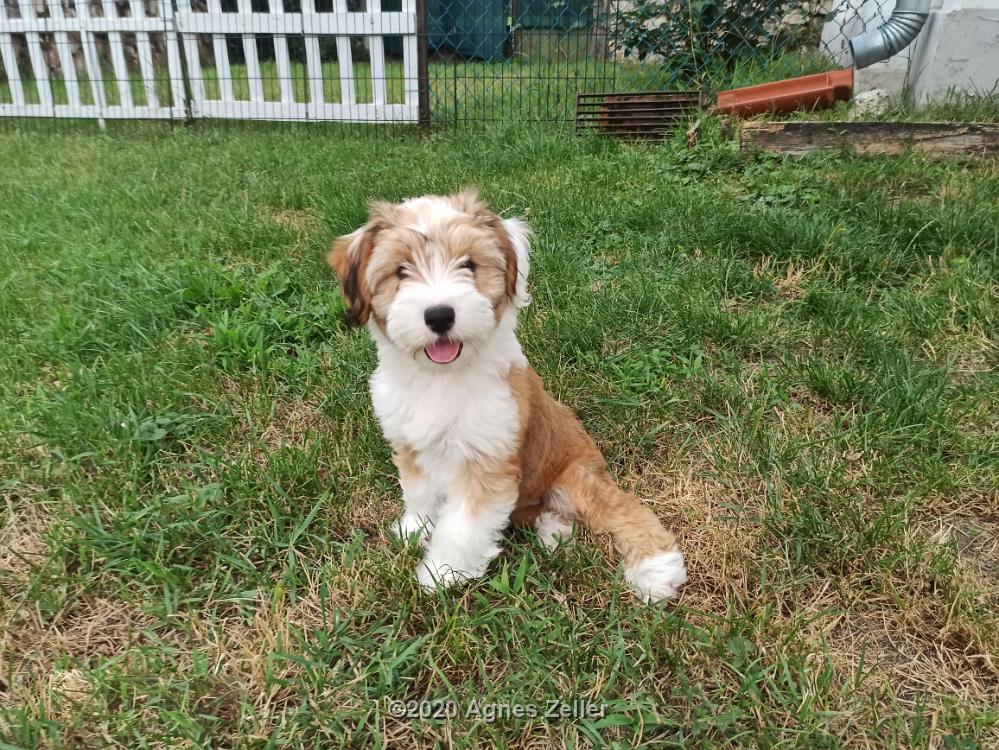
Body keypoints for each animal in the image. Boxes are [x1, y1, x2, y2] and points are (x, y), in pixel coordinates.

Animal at [328, 189, 688, 604]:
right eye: (401, 272)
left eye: (468, 265)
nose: (439, 315)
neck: (443, 377)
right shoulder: (411, 445)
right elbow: (419, 494)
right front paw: (414, 530)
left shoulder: (486, 463)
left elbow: (462, 527)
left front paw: (441, 573)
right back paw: (555, 533)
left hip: (575, 476)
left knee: (616, 507)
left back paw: (657, 568)